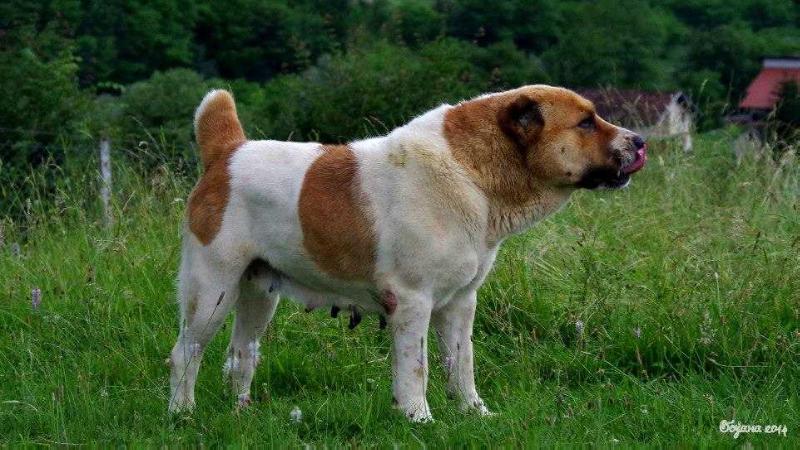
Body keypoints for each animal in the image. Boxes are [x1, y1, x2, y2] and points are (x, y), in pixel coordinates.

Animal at [166, 85, 648, 422]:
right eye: (585, 123)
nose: (641, 140)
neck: (471, 171)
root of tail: (227, 153)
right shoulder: (413, 301)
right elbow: (416, 367)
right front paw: (419, 418)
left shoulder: (459, 303)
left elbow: (462, 363)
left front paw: (474, 413)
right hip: (211, 292)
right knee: (185, 353)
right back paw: (182, 414)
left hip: (258, 294)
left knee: (241, 354)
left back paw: (242, 411)